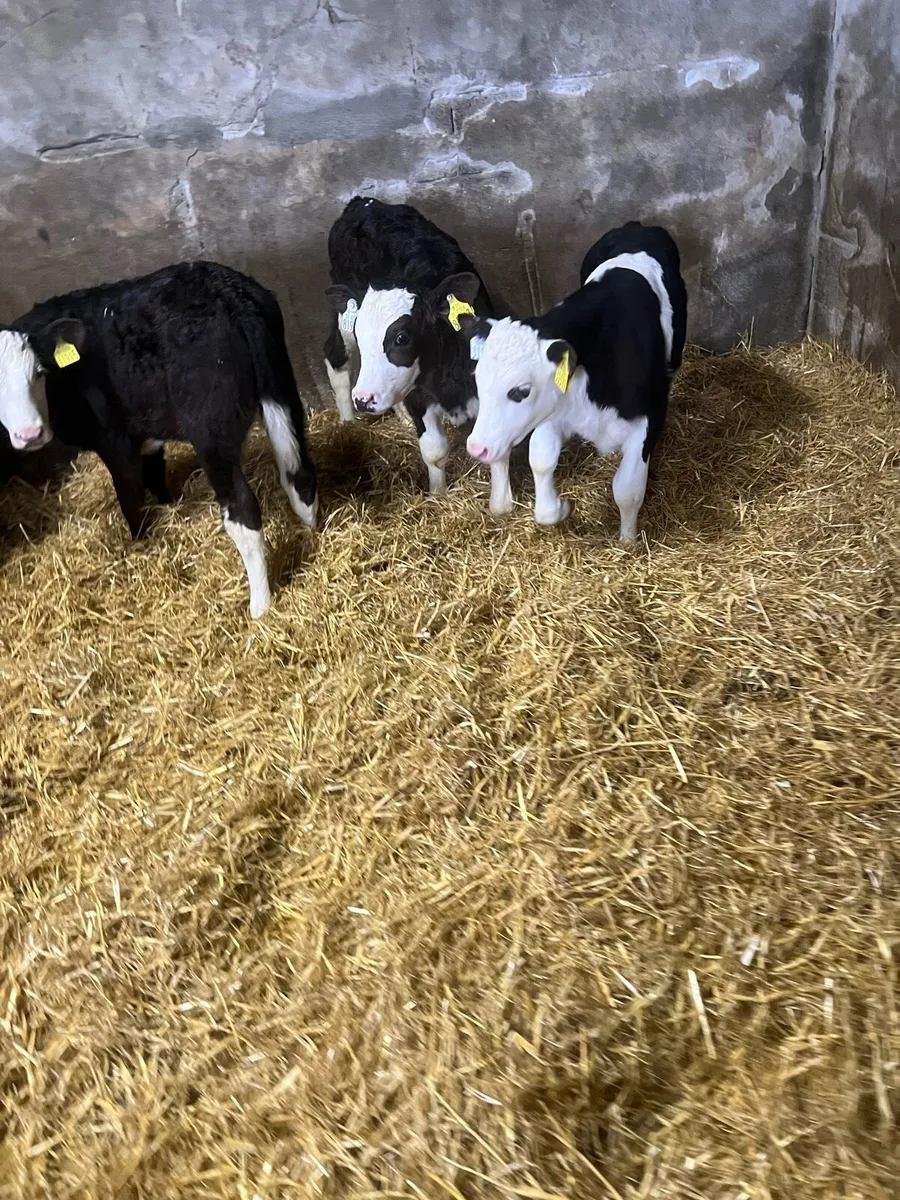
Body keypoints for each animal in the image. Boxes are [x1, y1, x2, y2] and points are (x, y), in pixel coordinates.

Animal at [0, 261, 318, 618]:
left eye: (40, 373)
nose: (29, 434)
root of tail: (228, 291)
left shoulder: (114, 439)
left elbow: (130, 497)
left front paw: (141, 545)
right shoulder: (146, 427)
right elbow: (155, 472)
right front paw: (169, 508)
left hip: (211, 431)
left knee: (243, 509)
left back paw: (260, 606)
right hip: (282, 385)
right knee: (299, 474)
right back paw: (312, 533)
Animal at [323, 196, 508, 506]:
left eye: (402, 337)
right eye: (362, 335)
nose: (363, 399)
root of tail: (363, 203)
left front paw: (502, 505)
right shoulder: (420, 395)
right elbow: (434, 450)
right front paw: (438, 495)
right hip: (342, 319)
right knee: (335, 356)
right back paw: (349, 425)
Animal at [464, 221, 687, 540]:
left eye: (521, 391)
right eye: (478, 382)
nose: (476, 448)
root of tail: (639, 226)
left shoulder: (650, 416)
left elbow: (627, 489)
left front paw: (628, 540)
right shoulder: (555, 408)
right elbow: (541, 461)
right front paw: (560, 507)